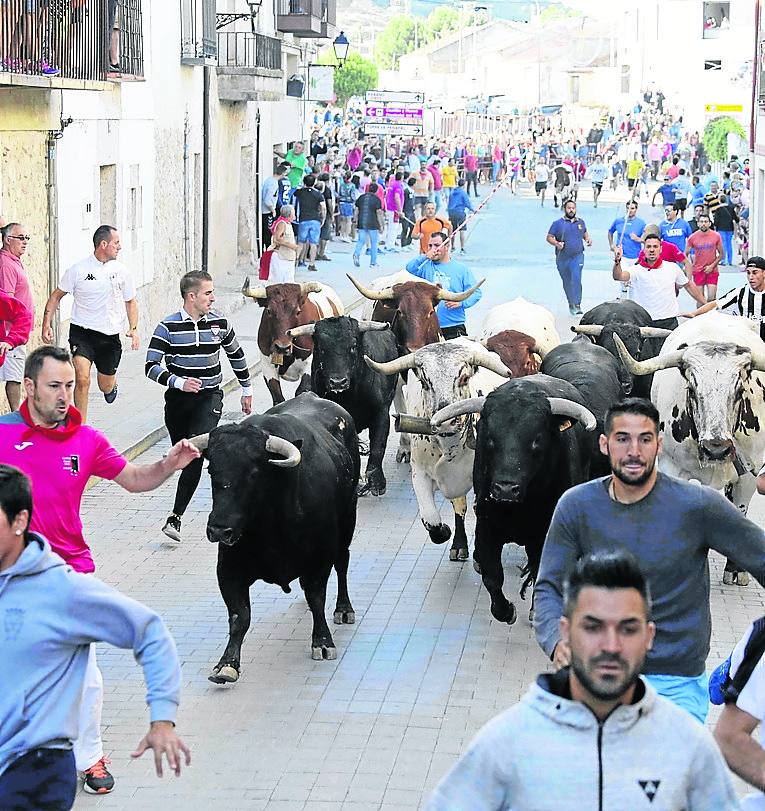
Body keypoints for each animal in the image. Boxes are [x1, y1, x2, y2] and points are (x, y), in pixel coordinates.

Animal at [190, 394, 360, 684]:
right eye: (211, 470)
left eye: (253, 473)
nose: (219, 530)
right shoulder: (228, 570)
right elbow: (240, 616)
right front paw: (227, 664)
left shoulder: (319, 560)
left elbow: (317, 598)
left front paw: (323, 642)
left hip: (348, 521)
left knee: (343, 563)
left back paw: (344, 608)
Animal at [612, 310, 765, 584]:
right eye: (692, 389)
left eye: (739, 389)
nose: (716, 448)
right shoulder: (671, 466)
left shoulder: (751, 473)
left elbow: (740, 512)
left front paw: (736, 569)